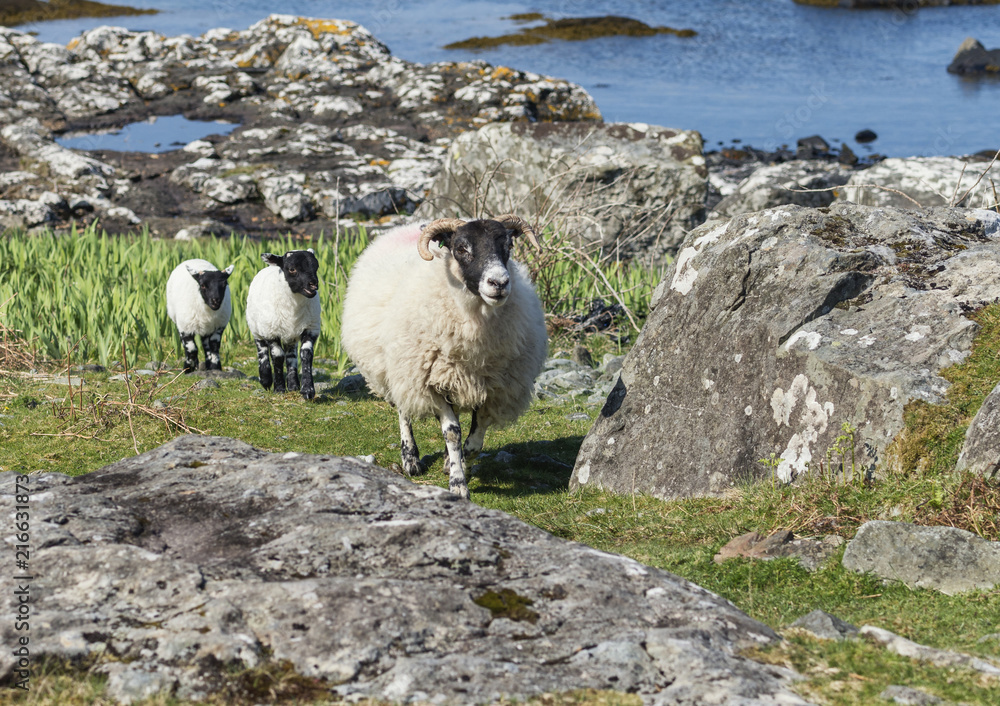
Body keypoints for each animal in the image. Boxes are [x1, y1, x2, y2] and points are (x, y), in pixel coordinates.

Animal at [245, 250, 320, 398]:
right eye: (292, 269)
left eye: (316, 266)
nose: (313, 284)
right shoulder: (271, 331)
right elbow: (278, 357)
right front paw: (279, 388)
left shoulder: (311, 328)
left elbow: (306, 354)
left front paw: (307, 390)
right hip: (257, 327)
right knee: (262, 350)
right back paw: (266, 380)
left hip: (290, 334)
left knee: (291, 355)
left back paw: (293, 385)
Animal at [342, 214, 548, 496]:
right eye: (461, 248)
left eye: (508, 245)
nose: (499, 283)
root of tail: (407, 227)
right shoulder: (431, 384)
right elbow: (452, 433)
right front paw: (458, 484)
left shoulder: (494, 389)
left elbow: (475, 442)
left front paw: (454, 462)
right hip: (398, 369)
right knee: (403, 411)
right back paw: (411, 458)